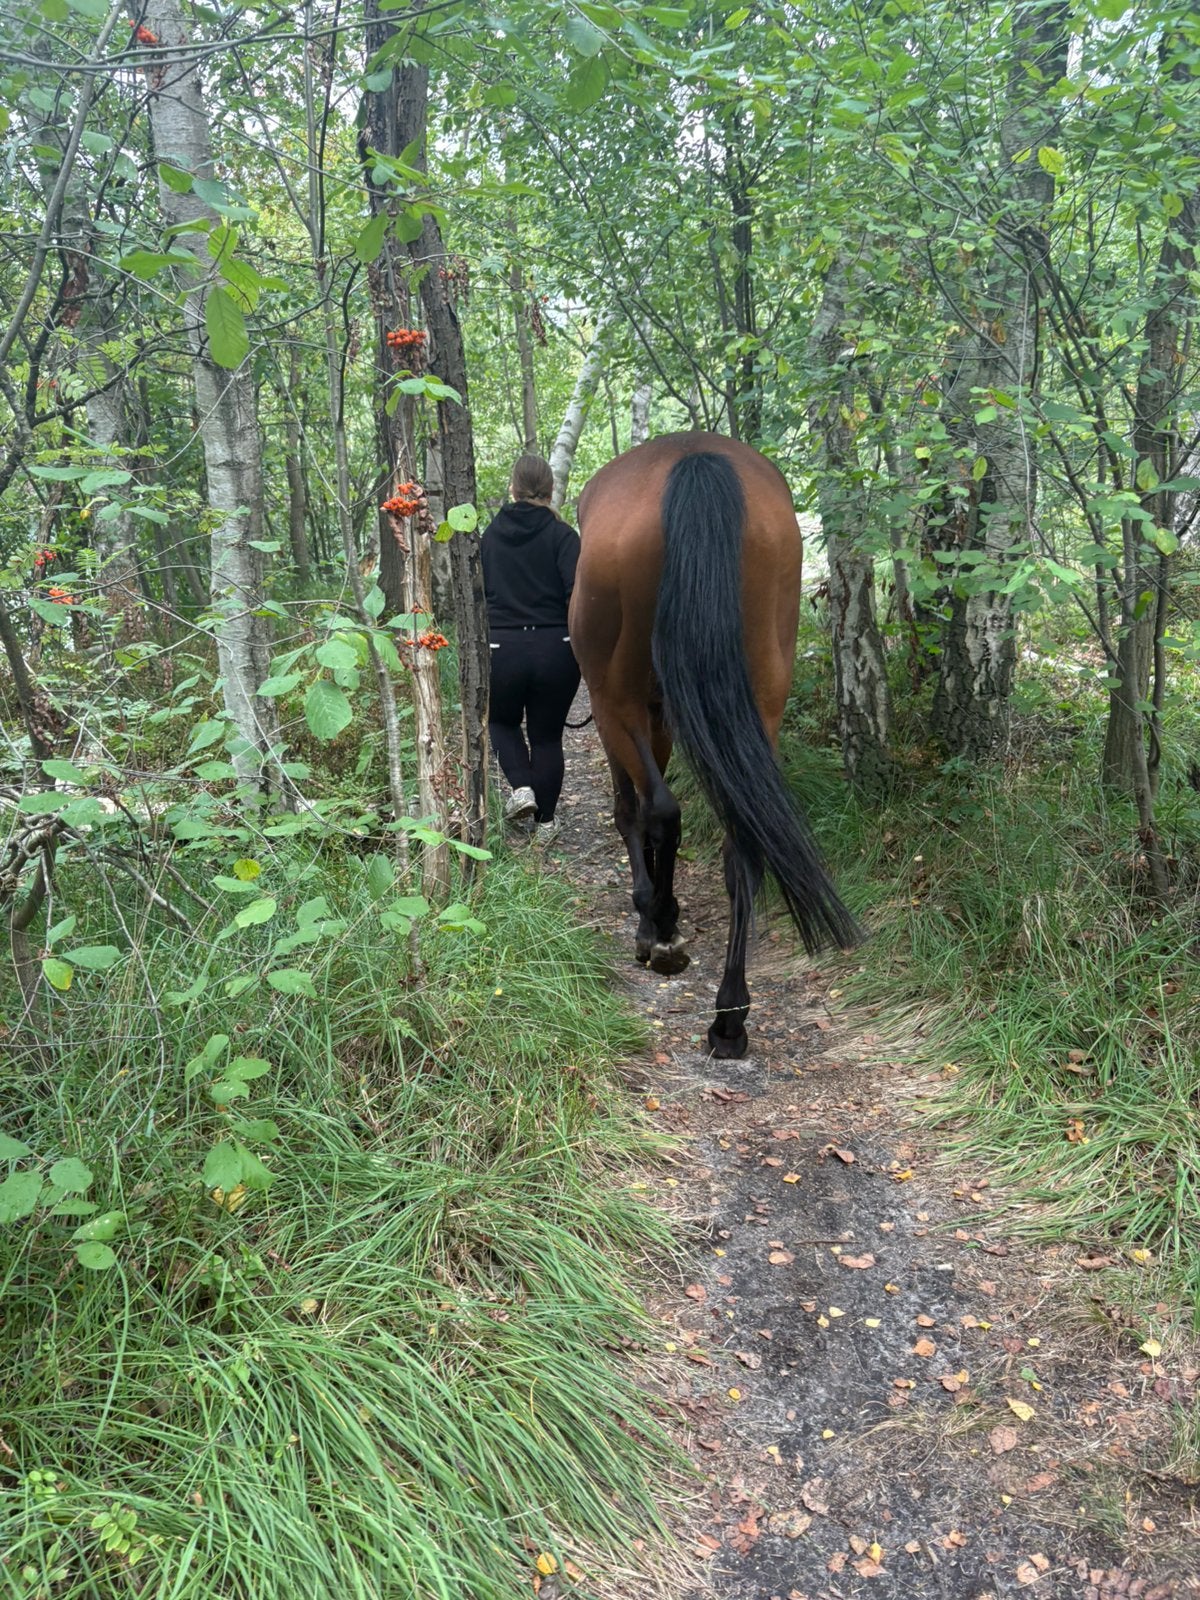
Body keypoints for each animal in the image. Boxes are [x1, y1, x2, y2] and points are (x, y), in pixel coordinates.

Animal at [569, 432, 859, 1060]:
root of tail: (694, 458)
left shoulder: (628, 716)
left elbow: (630, 811)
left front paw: (652, 921)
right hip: (762, 695)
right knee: (742, 847)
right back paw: (730, 1016)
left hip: (616, 697)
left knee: (660, 809)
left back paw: (663, 933)